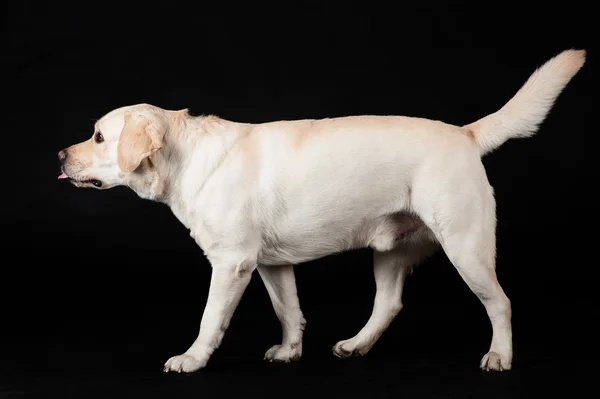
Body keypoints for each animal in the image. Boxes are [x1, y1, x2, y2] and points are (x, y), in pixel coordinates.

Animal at [59, 50, 584, 376]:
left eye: (99, 137)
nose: (61, 156)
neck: (185, 157)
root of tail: (464, 133)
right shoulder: (271, 264)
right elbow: (288, 309)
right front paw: (291, 351)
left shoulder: (232, 264)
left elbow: (211, 319)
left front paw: (192, 359)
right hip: (390, 251)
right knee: (388, 304)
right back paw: (356, 345)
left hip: (466, 247)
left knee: (501, 303)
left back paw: (499, 355)